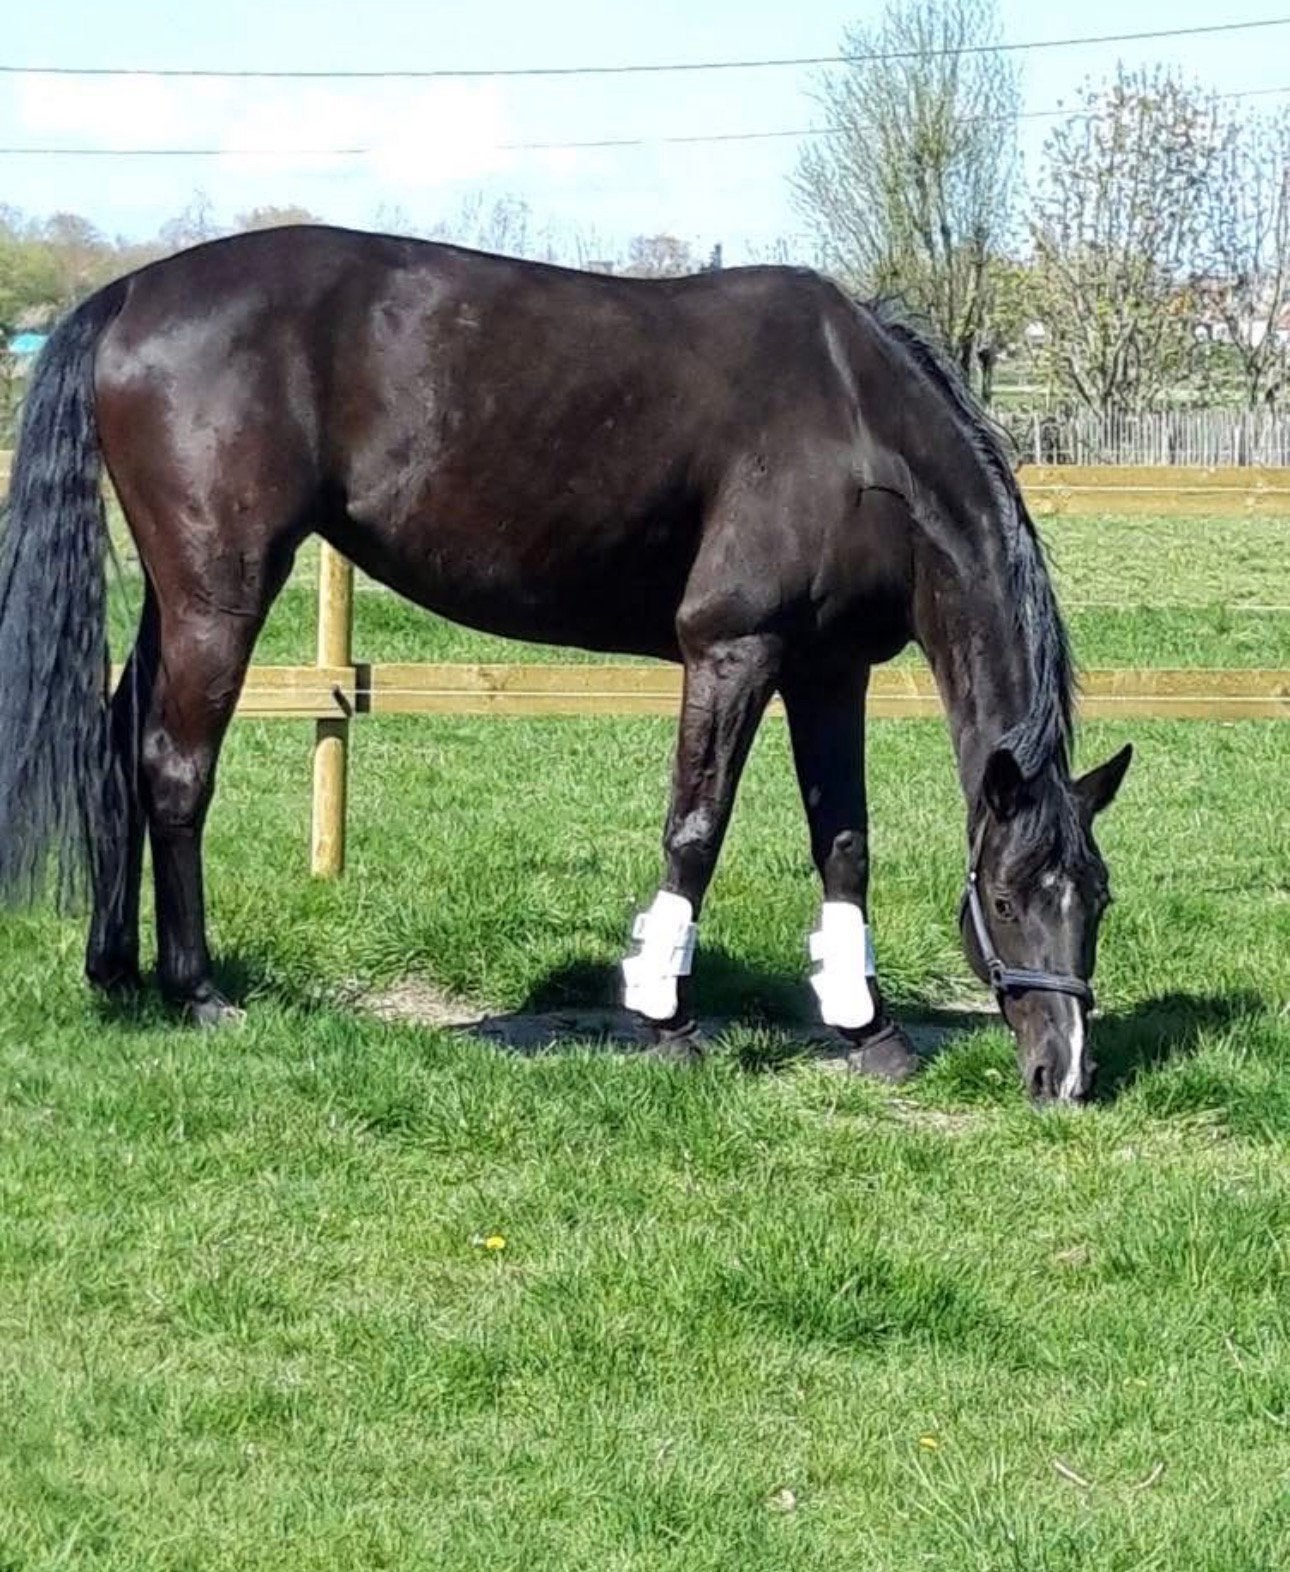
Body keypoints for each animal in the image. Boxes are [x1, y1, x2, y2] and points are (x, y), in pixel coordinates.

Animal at [0, 224, 1131, 1103]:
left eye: (1099, 897)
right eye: (1006, 899)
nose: (1065, 1078)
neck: (858, 428)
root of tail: (130, 293)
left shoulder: (827, 671)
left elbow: (844, 844)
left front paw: (871, 1030)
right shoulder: (734, 650)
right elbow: (695, 831)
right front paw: (665, 1022)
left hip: (176, 596)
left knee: (116, 747)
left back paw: (114, 973)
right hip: (220, 594)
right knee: (174, 769)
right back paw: (195, 991)